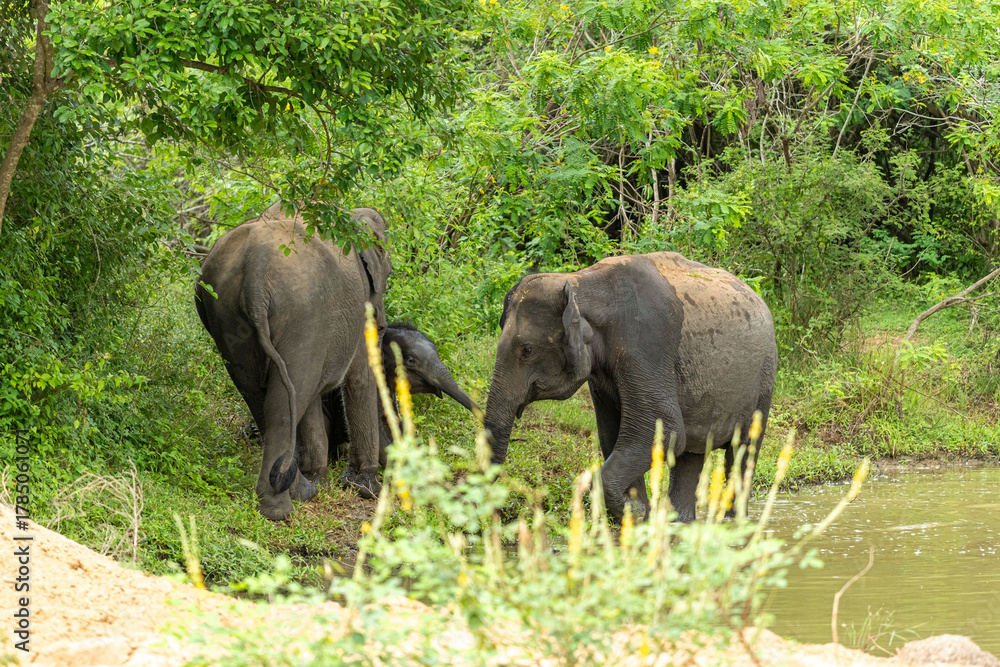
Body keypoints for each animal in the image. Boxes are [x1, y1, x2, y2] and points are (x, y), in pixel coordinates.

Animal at [195, 202, 392, 521]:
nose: (384, 324)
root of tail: (255, 266)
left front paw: (321, 479)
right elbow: (359, 377)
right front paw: (364, 489)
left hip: (225, 311)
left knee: (266, 395)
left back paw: (300, 491)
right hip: (304, 311)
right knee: (284, 402)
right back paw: (280, 509)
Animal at [483, 251, 777, 523]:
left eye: (527, 350)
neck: (580, 282)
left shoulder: (646, 344)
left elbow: (661, 428)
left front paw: (634, 511)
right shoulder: (602, 373)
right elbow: (614, 434)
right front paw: (637, 512)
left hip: (764, 377)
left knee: (742, 452)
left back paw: (732, 522)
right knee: (690, 456)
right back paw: (678, 523)